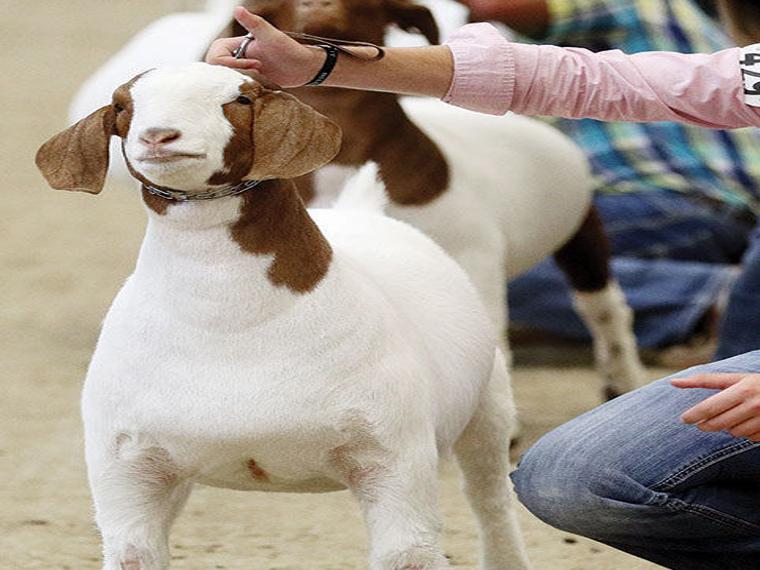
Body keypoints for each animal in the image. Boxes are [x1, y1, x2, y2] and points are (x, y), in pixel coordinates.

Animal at [37, 62, 530, 570]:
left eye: (240, 99)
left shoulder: (393, 455)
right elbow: (133, 551)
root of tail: (360, 211)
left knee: (489, 497)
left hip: (488, 402)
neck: (232, 329)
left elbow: (409, 551)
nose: (159, 135)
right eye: (122, 105)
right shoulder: (126, 465)